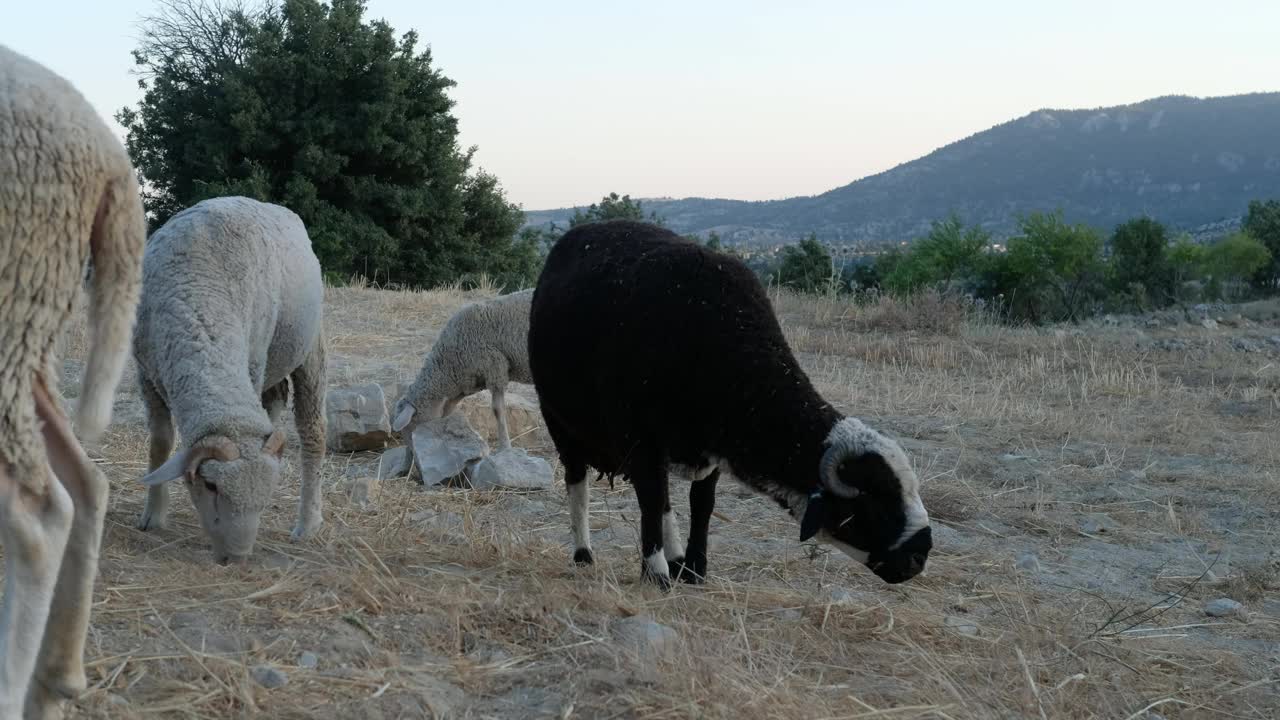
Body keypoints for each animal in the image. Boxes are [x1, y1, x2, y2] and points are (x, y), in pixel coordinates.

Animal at [131, 194, 325, 561]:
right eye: (210, 485)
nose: (236, 558)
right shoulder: (146, 372)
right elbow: (160, 443)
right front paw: (152, 516)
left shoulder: (252, 358)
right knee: (274, 401)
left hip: (309, 349)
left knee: (313, 433)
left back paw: (307, 525)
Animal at [389, 286, 529, 445]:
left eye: (411, 425)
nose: (411, 450)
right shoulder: (466, 383)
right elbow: (447, 410)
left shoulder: (495, 369)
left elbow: (498, 410)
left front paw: (505, 445)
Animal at [524, 220, 936, 589]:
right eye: (871, 505)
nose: (920, 556)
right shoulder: (640, 439)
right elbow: (650, 501)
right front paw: (655, 574)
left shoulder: (710, 448)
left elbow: (698, 504)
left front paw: (693, 569)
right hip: (558, 419)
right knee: (579, 484)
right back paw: (584, 555)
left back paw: (674, 558)